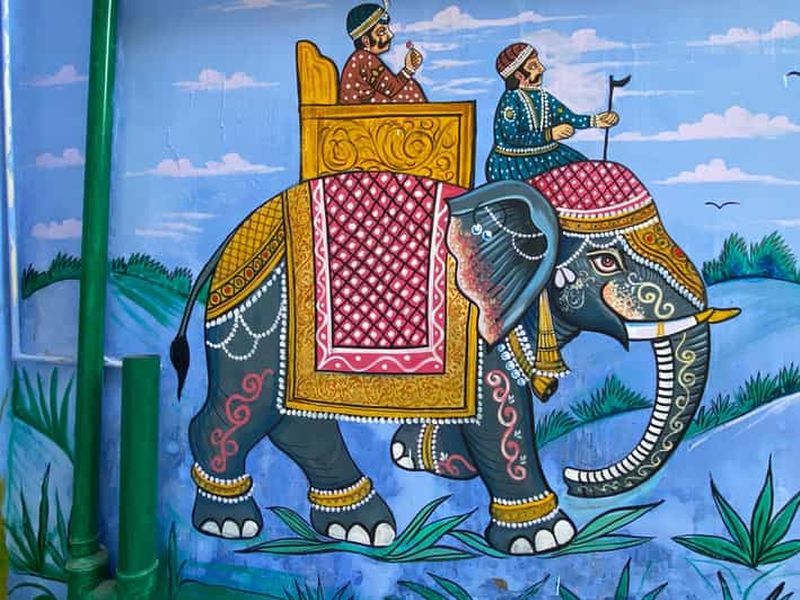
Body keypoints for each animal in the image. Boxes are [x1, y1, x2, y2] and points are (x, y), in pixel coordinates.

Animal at [170, 160, 738, 555]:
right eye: (606, 261)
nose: (577, 475)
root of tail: (227, 246)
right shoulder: (483, 327)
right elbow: (501, 417)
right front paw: (544, 538)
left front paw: (437, 462)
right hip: (257, 324)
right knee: (244, 406)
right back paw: (231, 522)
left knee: (294, 422)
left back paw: (358, 524)